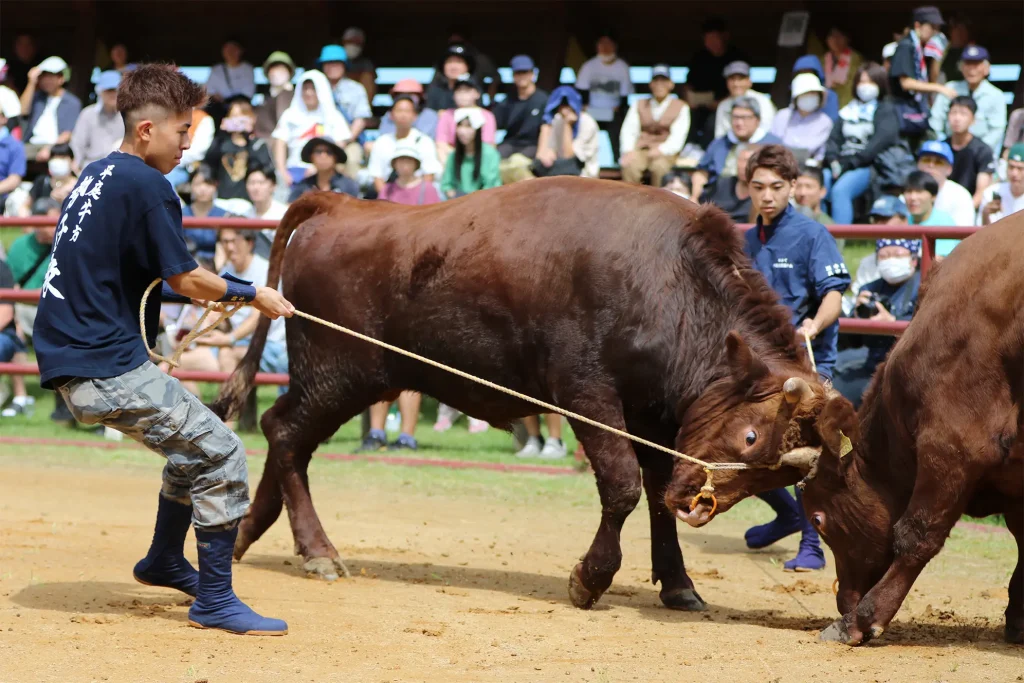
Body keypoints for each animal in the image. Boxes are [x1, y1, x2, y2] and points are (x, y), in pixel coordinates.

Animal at [214, 179, 815, 610]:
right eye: (750, 434)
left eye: (777, 474)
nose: (699, 505)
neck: (672, 280)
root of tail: (340, 205)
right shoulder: (587, 397)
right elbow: (622, 485)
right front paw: (589, 581)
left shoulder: (655, 418)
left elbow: (655, 488)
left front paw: (679, 587)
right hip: (339, 378)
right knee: (286, 432)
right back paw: (318, 553)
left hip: (338, 383)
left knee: (284, 435)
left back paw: (249, 531)